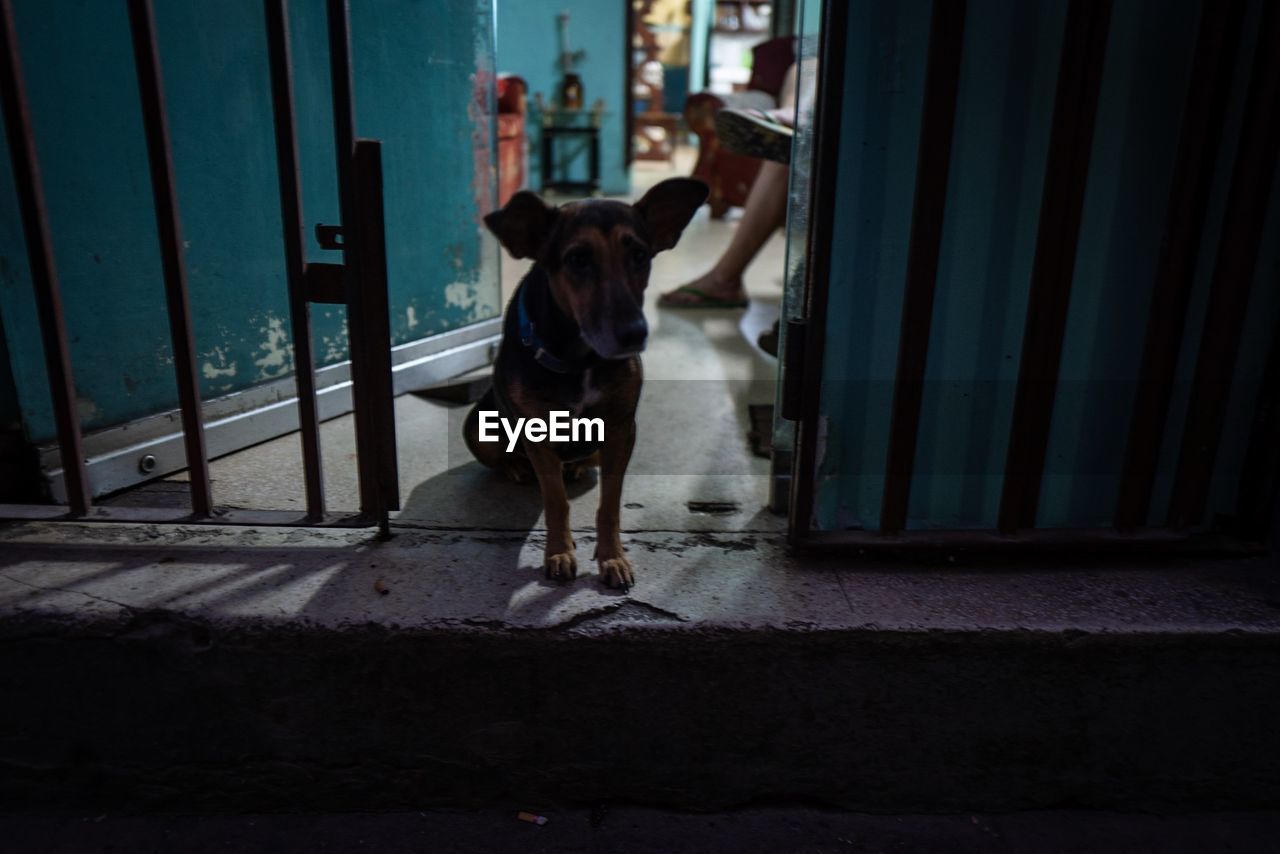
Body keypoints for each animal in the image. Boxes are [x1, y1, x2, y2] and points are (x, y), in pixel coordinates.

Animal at [465, 179, 711, 594]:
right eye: (578, 259)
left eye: (640, 255)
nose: (634, 334)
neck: (579, 356)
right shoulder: (537, 433)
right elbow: (555, 501)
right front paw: (559, 553)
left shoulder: (621, 430)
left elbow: (609, 504)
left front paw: (613, 557)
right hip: (477, 428)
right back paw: (515, 468)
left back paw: (576, 467)